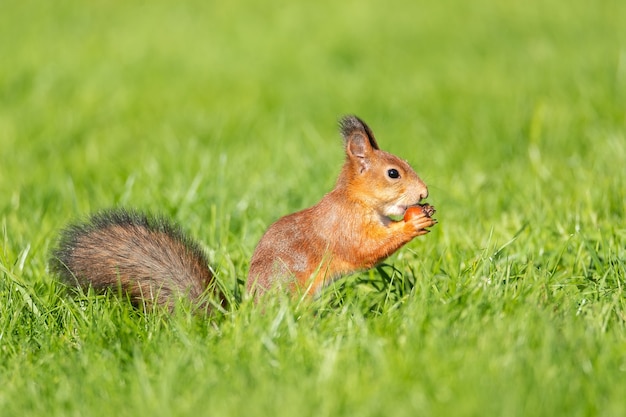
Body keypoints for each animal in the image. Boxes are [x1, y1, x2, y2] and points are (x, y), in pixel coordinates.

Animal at [50, 114, 434, 312]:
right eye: (393, 173)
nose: (424, 193)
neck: (358, 200)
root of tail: (244, 319)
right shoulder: (344, 227)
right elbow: (366, 250)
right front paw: (413, 221)